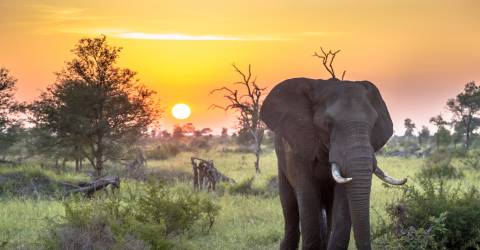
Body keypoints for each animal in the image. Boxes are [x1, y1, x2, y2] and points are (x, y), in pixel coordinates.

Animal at [260, 78, 406, 250]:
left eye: (374, 122)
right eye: (328, 123)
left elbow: (341, 209)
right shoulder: (299, 149)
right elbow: (308, 200)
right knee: (290, 209)